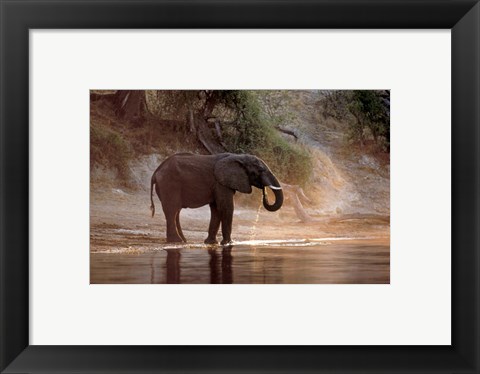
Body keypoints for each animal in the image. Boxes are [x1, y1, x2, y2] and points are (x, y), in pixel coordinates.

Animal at [150, 153, 284, 245]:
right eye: (260, 170)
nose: (264, 191)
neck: (238, 156)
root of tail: (156, 171)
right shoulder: (221, 183)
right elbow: (226, 207)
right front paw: (228, 243)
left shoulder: (219, 184)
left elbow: (216, 209)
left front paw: (211, 243)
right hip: (169, 184)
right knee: (172, 210)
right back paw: (176, 241)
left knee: (175, 211)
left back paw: (183, 241)